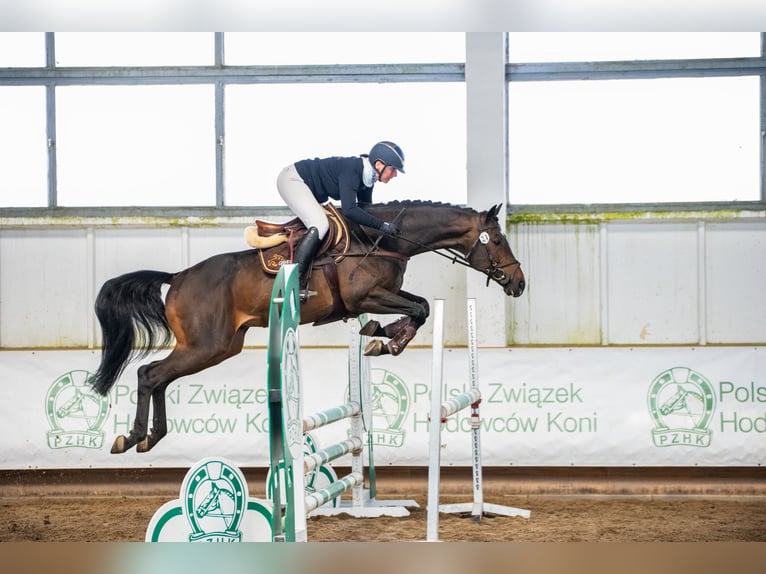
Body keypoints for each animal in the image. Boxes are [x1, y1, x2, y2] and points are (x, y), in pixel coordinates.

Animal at [91, 200, 525, 454]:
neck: (381, 237)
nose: (520, 284)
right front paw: (387, 339)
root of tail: (177, 276)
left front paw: (379, 336)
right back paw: (132, 437)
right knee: (149, 375)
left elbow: (419, 307)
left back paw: (151, 437)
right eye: (497, 240)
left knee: (159, 378)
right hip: (204, 346)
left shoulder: (384, 293)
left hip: (218, 348)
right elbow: (419, 310)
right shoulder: (367, 296)